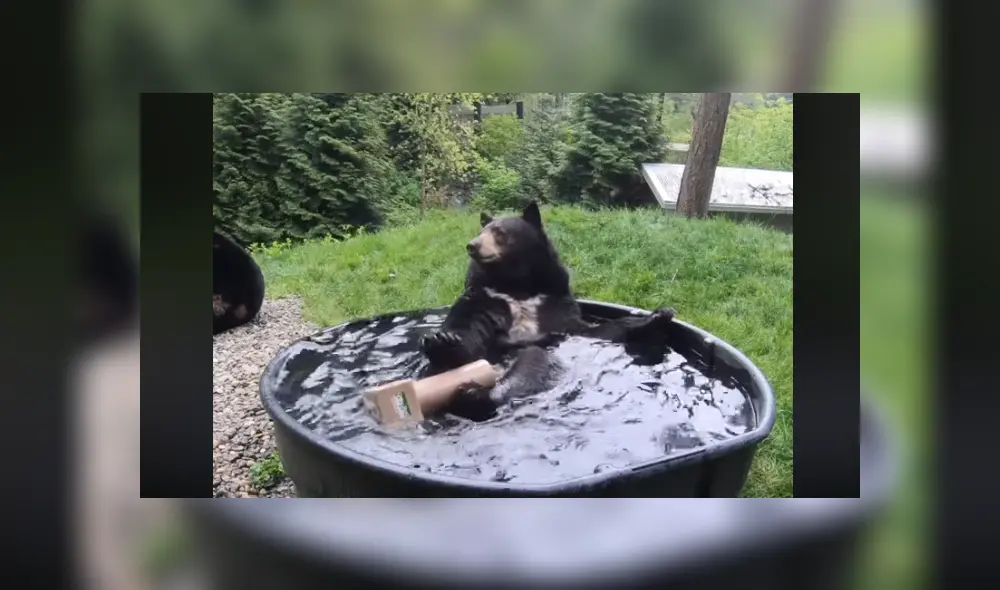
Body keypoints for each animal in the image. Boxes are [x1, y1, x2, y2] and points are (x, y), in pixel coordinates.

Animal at [419, 201, 676, 377]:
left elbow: (593, 330)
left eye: (500, 232)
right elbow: (471, 330)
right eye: (481, 231)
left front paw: (659, 315)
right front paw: (443, 341)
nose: (473, 245)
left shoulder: (554, 298)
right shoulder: (485, 297)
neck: (515, 283)